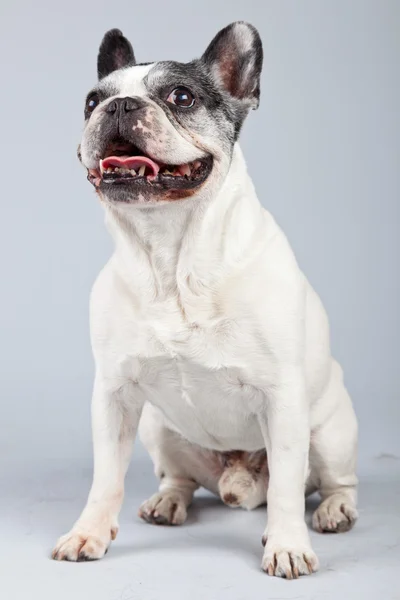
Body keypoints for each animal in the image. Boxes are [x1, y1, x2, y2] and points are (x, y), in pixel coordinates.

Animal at [51, 22, 358, 576]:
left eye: (182, 96)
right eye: (91, 101)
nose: (120, 105)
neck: (171, 258)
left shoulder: (283, 398)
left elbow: (286, 487)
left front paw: (287, 544)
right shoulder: (114, 396)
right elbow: (105, 478)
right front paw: (88, 533)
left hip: (329, 432)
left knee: (333, 481)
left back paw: (335, 509)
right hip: (159, 429)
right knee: (181, 478)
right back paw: (167, 501)